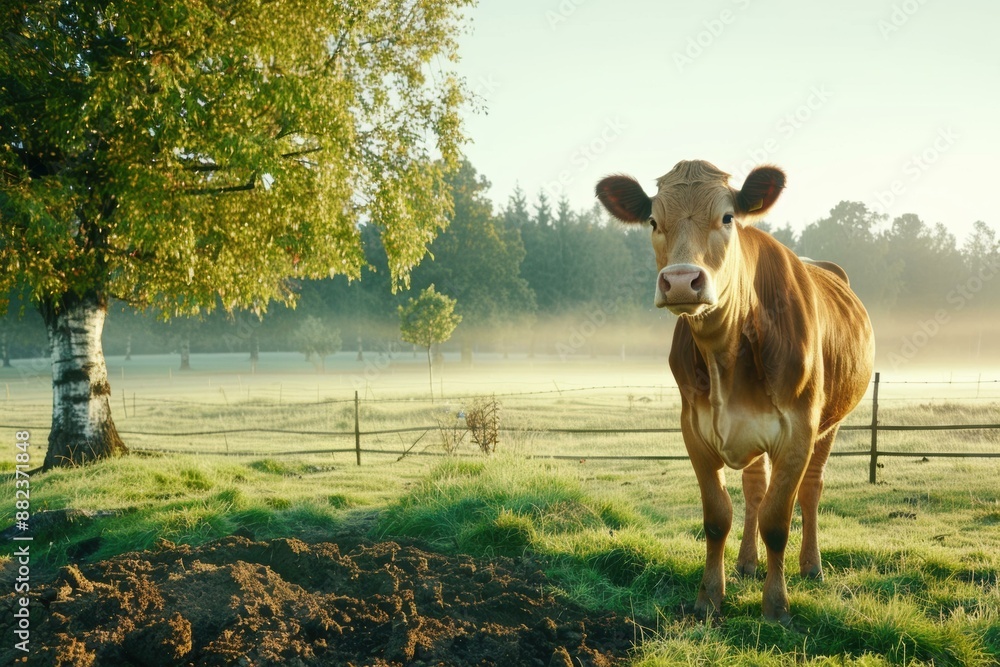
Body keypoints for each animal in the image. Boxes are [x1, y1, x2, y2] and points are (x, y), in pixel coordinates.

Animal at [596, 159, 872, 624]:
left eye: (727, 218)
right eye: (653, 220)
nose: (681, 281)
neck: (726, 352)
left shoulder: (798, 431)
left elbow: (777, 521)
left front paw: (776, 606)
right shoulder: (695, 429)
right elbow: (718, 515)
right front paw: (710, 597)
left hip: (830, 422)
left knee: (811, 488)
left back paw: (811, 566)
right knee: (755, 488)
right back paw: (746, 563)